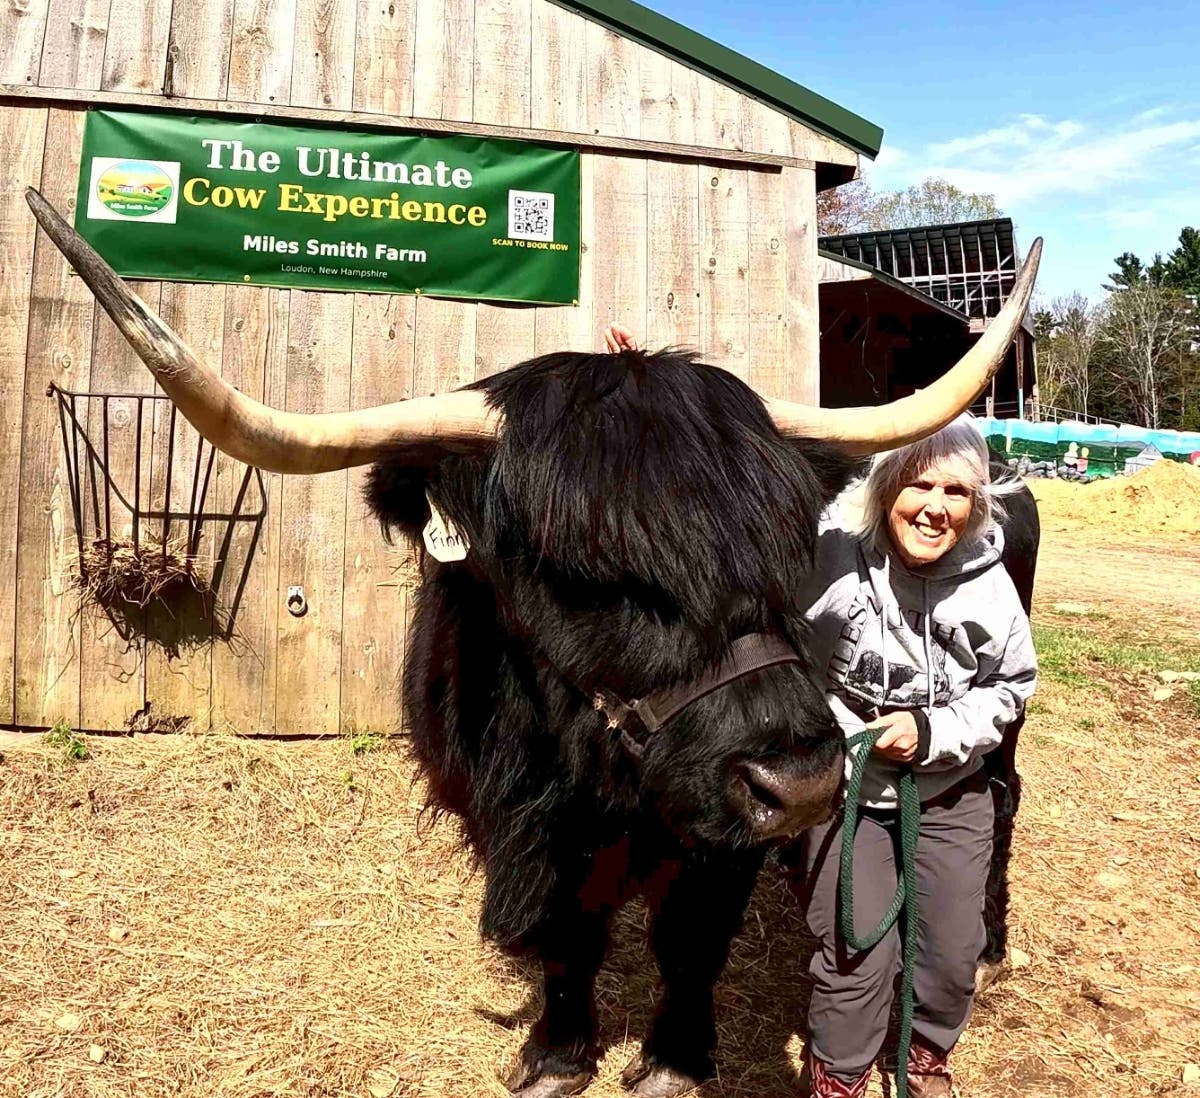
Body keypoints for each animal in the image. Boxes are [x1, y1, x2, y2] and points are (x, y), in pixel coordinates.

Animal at [25, 189, 1039, 1098]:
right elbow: (567, 936)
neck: (571, 771)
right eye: (577, 568)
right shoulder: (507, 818)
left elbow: (690, 939)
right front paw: (557, 1056)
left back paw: (984, 942)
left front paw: (673, 1060)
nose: (799, 782)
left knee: (995, 789)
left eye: (789, 546)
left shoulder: (716, 835)